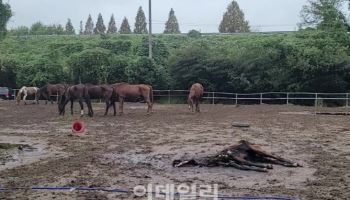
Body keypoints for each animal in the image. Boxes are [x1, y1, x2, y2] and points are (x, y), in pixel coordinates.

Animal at [172, 140, 300, 173]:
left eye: (182, 159)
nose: (175, 164)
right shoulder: (234, 163)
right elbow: (247, 167)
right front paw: (263, 168)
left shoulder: (234, 157)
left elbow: (249, 164)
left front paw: (264, 168)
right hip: (260, 156)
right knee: (277, 161)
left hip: (261, 152)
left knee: (278, 157)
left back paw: (295, 163)